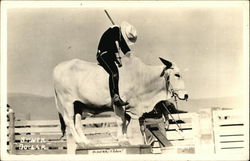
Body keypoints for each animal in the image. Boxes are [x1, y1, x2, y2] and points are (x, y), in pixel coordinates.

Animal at [53, 54, 188, 146]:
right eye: (177, 74)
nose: (186, 95)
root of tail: (57, 68)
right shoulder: (119, 105)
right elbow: (120, 121)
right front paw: (122, 140)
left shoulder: (128, 108)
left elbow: (125, 122)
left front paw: (125, 138)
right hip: (67, 103)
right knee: (69, 121)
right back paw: (79, 141)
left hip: (78, 105)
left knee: (77, 123)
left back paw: (85, 141)